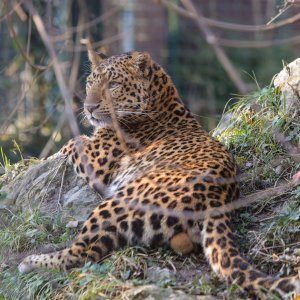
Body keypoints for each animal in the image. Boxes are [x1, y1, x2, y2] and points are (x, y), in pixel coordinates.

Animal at [18, 50, 300, 298]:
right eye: (90, 82)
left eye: (113, 85)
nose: (88, 107)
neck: (161, 101)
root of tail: (216, 200)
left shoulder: (98, 161)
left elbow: (72, 142)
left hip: (118, 201)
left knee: (82, 253)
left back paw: (31, 262)